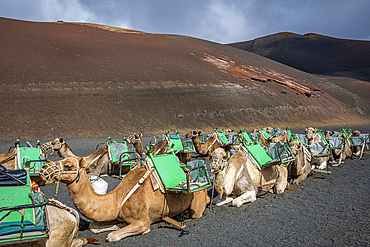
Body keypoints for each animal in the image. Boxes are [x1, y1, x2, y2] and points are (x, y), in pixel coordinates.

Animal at [39, 157, 211, 242]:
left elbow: (112, 236)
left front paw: (116, 230)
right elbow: (93, 227)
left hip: (197, 201)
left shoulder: (143, 221)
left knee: (196, 211)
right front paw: (118, 225)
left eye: (68, 165)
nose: (44, 168)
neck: (118, 198)